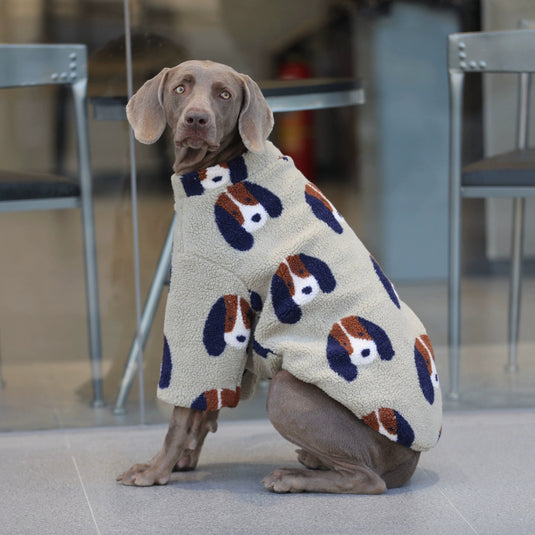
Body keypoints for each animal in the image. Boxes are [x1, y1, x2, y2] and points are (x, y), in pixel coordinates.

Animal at [117, 61, 444, 494]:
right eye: (181, 88)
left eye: (224, 95)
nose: (197, 119)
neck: (220, 169)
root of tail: (412, 459)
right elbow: (204, 410)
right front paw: (185, 461)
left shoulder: (205, 295)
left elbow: (182, 412)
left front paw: (156, 470)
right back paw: (310, 462)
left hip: (288, 392)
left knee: (366, 478)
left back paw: (293, 478)